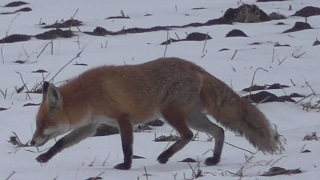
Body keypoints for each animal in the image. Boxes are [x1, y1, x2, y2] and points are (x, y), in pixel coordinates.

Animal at [30, 57, 280, 170]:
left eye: (42, 123)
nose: (32, 142)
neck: (89, 96)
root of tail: (195, 67)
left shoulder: (123, 117)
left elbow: (127, 146)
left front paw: (126, 166)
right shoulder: (91, 126)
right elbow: (62, 142)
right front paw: (45, 157)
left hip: (170, 113)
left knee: (188, 135)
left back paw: (165, 156)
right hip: (192, 117)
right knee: (218, 131)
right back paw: (215, 159)